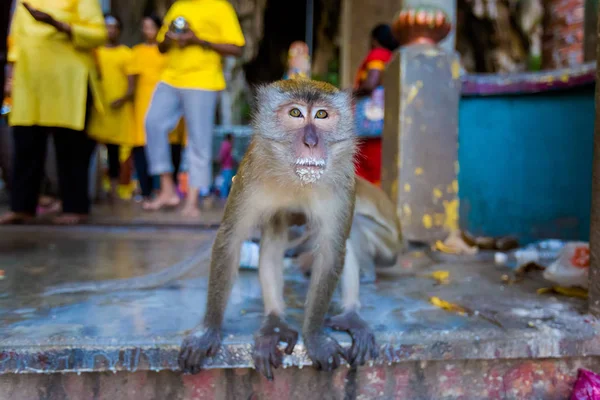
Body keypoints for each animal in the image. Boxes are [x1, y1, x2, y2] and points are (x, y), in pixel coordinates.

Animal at [176, 79, 378, 382]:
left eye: (321, 115)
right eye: (295, 113)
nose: (311, 142)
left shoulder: (342, 186)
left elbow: (332, 249)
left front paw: (314, 335)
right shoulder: (250, 178)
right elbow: (231, 239)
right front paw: (209, 328)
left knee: (344, 241)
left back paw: (351, 314)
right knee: (275, 232)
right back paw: (275, 321)